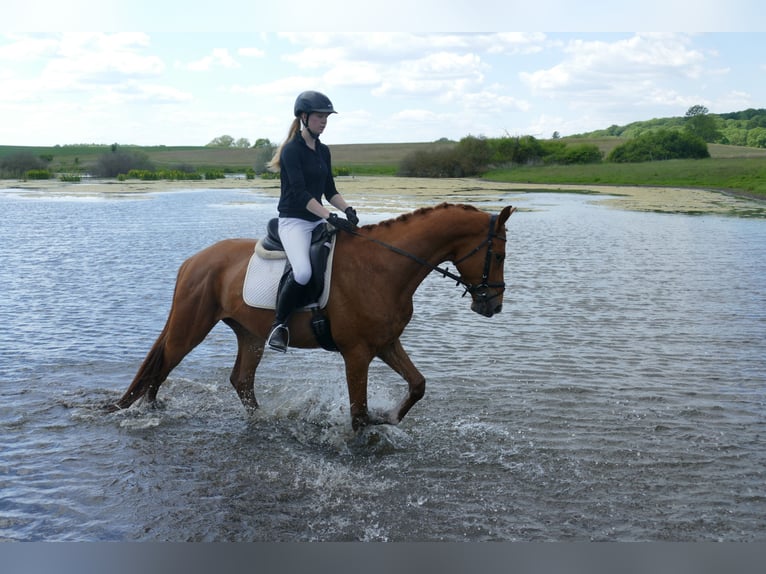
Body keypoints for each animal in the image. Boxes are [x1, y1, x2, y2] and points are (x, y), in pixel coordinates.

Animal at [113, 202, 516, 430]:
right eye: (498, 255)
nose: (492, 305)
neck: (386, 267)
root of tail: (193, 260)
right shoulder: (357, 353)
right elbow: (357, 414)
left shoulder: (386, 342)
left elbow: (418, 384)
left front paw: (389, 419)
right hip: (191, 327)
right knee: (162, 367)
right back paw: (148, 413)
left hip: (250, 334)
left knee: (240, 380)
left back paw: (261, 420)